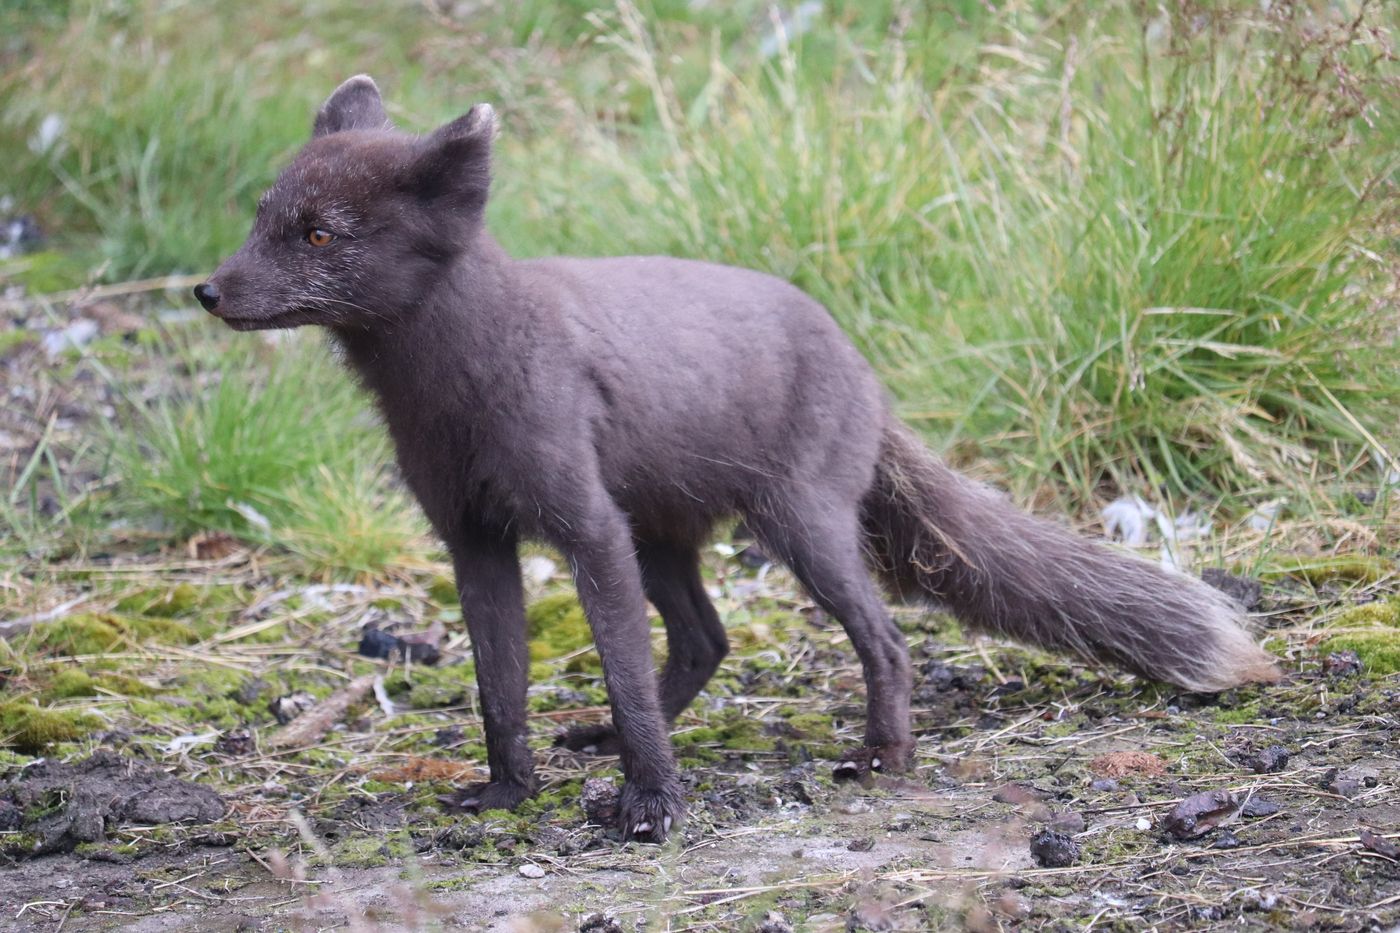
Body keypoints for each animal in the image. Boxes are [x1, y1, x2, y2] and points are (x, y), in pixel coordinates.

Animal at [195, 76, 1280, 842]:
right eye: (258, 218)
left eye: (319, 233)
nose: (207, 290)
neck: (453, 391)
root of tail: (868, 377)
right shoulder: (474, 538)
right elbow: (500, 688)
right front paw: (508, 793)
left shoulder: (585, 527)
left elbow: (622, 675)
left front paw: (648, 805)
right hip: (666, 537)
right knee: (706, 640)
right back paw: (604, 736)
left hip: (796, 528)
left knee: (882, 641)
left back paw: (881, 758)